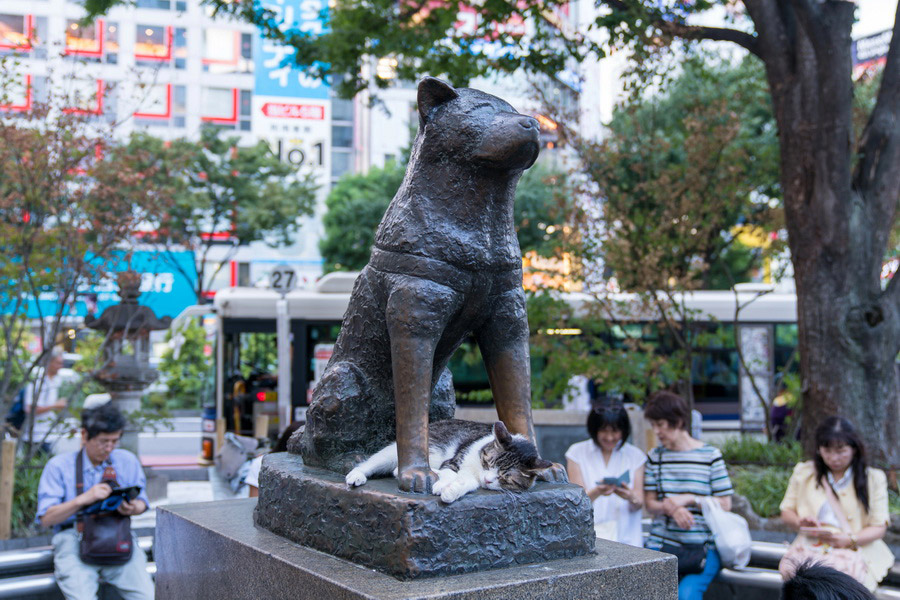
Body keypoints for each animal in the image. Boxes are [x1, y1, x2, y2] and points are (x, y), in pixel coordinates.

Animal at [346, 422, 552, 502]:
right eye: (488, 463)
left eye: (505, 478)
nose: (487, 480)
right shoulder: (452, 461)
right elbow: (450, 472)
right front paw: (441, 485)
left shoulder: (473, 478)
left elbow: (468, 482)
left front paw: (451, 491)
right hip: (393, 452)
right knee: (371, 462)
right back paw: (357, 475)